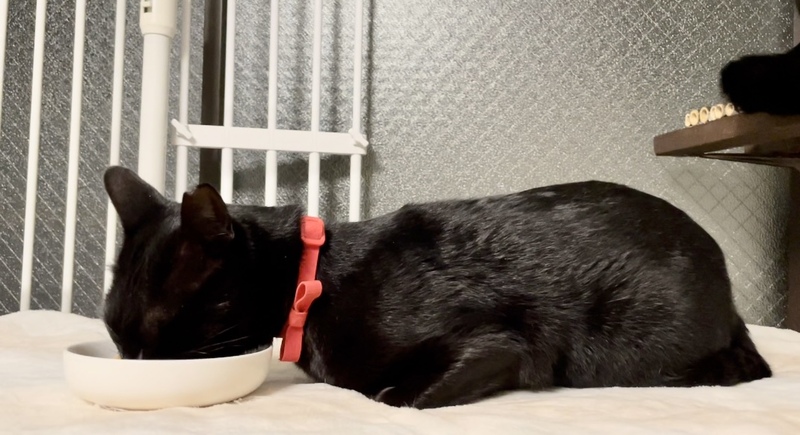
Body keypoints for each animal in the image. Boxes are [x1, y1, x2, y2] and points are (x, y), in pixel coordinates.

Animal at [102, 165, 771, 409]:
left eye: (161, 332)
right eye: (114, 333)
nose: (133, 368)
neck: (311, 283)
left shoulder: (501, 343)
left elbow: (391, 398)